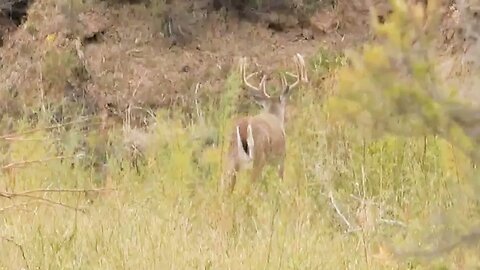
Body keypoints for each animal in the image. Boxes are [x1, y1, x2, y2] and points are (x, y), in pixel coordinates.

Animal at [220, 52, 308, 193]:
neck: (274, 115)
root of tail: (244, 127)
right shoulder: (281, 157)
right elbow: (280, 178)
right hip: (258, 156)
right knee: (251, 185)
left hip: (231, 156)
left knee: (227, 185)